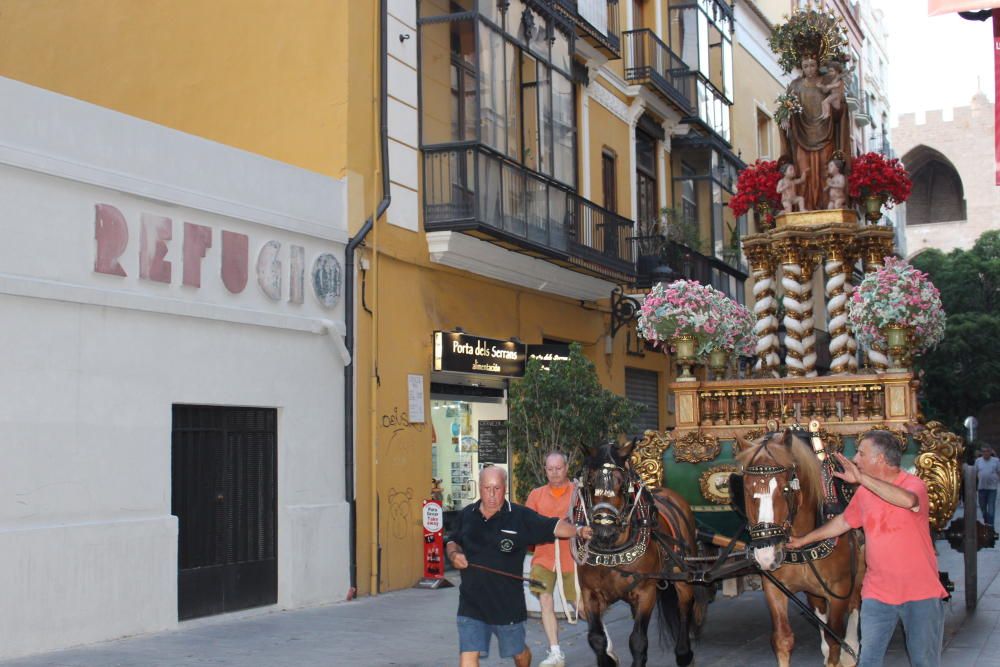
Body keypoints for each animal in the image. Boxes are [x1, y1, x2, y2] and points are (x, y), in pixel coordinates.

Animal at [576, 440, 708, 667]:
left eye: (622, 484)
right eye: (591, 482)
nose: (604, 529)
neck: (611, 552)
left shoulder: (646, 592)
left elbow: (638, 640)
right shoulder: (590, 593)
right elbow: (597, 638)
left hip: (682, 573)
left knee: (684, 608)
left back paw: (684, 653)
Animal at [736, 434, 868, 667]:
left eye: (786, 490)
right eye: (747, 489)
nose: (765, 556)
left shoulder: (839, 590)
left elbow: (835, 640)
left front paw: (840, 654)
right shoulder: (774, 587)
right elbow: (783, 639)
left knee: (854, 605)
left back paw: (851, 649)